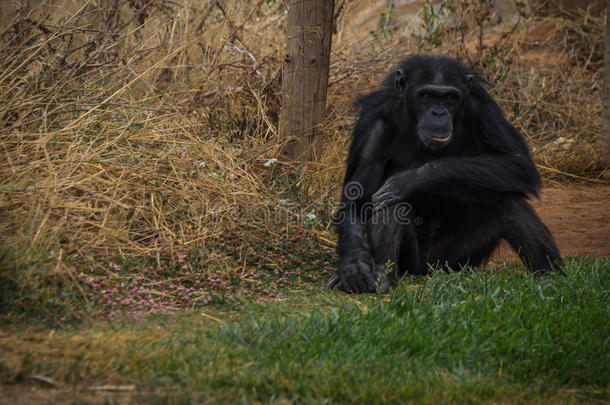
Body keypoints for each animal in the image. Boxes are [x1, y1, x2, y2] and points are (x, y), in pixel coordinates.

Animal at [328, 54, 560, 294]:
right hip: (413, 263)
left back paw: (552, 278)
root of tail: (427, 270)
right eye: (426, 95)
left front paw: (410, 180)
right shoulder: (373, 124)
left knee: (509, 202)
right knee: (389, 202)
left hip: (454, 262)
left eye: (449, 97)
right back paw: (383, 271)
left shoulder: (484, 110)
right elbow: (356, 203)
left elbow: (518, 163)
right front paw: (354, 265)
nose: (438, 112)